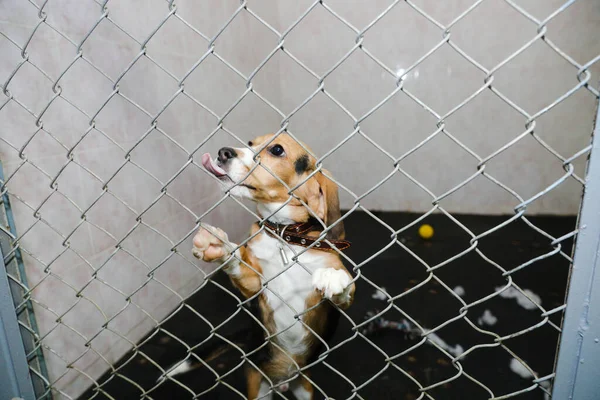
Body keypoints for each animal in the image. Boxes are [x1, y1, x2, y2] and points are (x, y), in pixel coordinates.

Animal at [166, 134, 354, 400]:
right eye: (250, 143)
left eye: (277, 150)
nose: (223, 152)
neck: (285, 237)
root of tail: (282, 381)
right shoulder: (256, 285)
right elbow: (240, 264)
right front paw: (219, 247)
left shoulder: (333, 301)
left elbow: (343, 289)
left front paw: (333, 277)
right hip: (258, 387)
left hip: (305, 388)